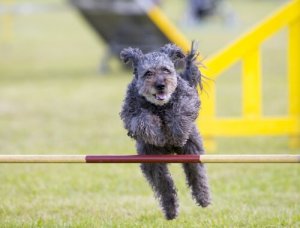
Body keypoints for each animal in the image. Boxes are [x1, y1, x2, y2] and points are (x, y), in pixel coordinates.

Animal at [119, 42, 211, 219]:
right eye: (148, 73)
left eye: (166, 70)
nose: (160, 85)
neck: (159, 106)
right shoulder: (131, 112)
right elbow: (142, 120)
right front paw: (157, 134)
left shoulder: (187, 99)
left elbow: (180, 111)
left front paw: (177, 133)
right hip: (152, 161)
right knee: (164, 184)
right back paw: (171, 210)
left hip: (192, 151)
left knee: (197, 174)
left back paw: (203, 198)